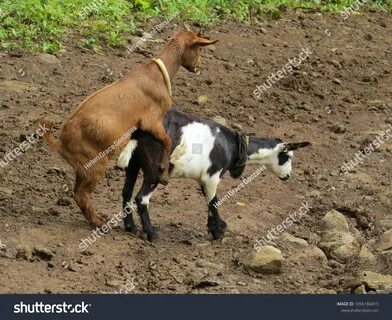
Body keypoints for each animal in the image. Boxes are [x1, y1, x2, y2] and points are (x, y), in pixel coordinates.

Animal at [39, 30, 217, 229]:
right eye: (199, 49)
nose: (199, 66)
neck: (157, 74)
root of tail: (60, 143)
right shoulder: (151, 120)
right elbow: (168, 141)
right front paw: (163, 174)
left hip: (83, 167)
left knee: (78, 192)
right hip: (95, 163)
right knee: (81, 194)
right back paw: (99, 222)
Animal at [116, 109, 310, 241]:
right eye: (288, 157)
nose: (288, 176)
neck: (233, 146)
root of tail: (139, 129)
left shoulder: (204, 179)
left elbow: (210, 200)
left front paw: (215, 227)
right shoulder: (212, 176)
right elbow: (214, 201)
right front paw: (218, 230)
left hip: (134, 163)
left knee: (126, 192)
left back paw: (130, 227)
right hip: (155, 169)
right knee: (141, 198)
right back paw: (151, 233)